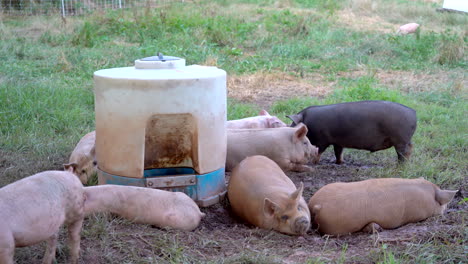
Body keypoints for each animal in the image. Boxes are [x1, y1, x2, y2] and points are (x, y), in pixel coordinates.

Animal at [286, 100, 416, 164]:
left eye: (293, 124)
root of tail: (414, 113)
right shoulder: (337, 142)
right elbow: (338, 152)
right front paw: (339, 163)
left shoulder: (322, 140)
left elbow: (319, 151)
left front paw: (314, 162)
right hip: (405, 141)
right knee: (410, 149)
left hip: (400, 140)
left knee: (403, 154)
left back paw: (400, 167)